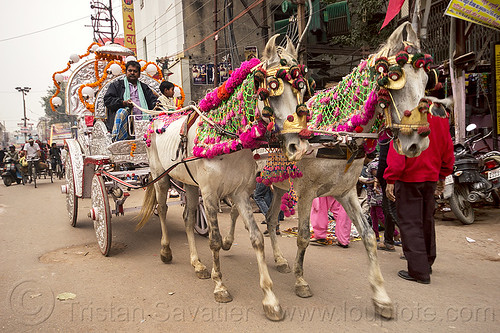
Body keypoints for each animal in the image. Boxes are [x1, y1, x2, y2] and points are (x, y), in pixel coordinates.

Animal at [137, 35, 308, 320]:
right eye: (271, 88)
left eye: (301, 89)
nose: (299, 145)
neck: (227, 140)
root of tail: (158, 118)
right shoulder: (210, 195)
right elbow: (215, 241)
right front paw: (220, 286)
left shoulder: (240, 194)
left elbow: (256, 238)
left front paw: (270, 299)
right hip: (160, 177)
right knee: (162, 210)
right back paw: (166, 251)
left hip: (189, 184)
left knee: (187, 218)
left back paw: (197, 264)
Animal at [221, 22, 452, 318]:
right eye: (393, 80)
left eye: (426, 81)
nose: (416, 143)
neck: (338, 135)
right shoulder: (307, 193)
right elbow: (303, 236)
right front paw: (301, 281)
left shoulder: (347, 193)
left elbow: (368, 236)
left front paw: (381, 296)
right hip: (251, 182)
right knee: (236, 211)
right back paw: (228, 241)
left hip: (278, 185)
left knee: (271, 220)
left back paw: (280, 259)